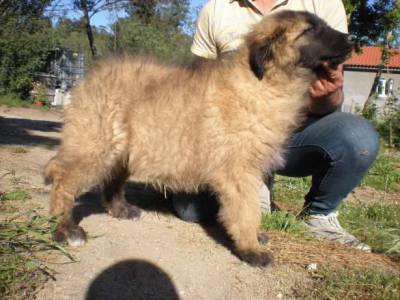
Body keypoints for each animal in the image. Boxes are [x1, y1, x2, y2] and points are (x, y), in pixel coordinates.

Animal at [45, 10, 354, 266]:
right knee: (63, 179)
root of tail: (91, 76)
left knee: (111, 179)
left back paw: (120, 209)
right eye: (311, 30)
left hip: (124, 146)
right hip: (98, 142)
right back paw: (65, 228)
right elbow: (247, 210)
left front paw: (255, 238)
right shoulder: (239, 173)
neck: (263, 82)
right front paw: (251, 249)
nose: (351, 38)